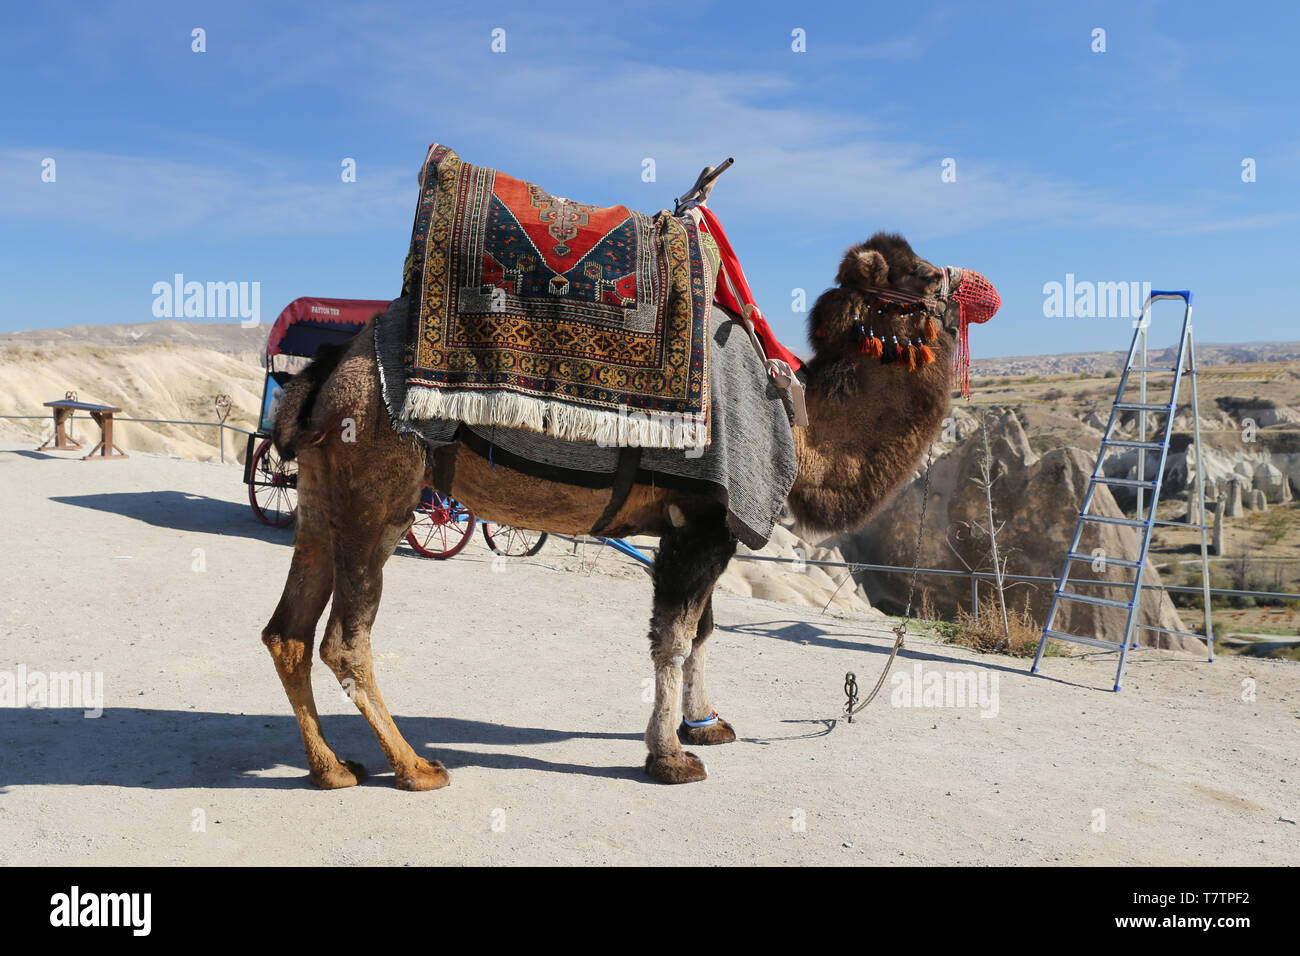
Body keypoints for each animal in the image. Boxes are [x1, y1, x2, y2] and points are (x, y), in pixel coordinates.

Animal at [261, 231, 976, 788]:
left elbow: (703, 632)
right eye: (923, 275)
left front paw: (706, 724)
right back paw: (414, 767)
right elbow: (675, 636)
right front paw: (670, 758)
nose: (965, 282)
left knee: (286, 631)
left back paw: (332, 768)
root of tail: (329, 370)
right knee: (344, 639)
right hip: (378, 491)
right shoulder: (702, 522)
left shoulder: (698, 528)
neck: (798, 424)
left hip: (323, 497)